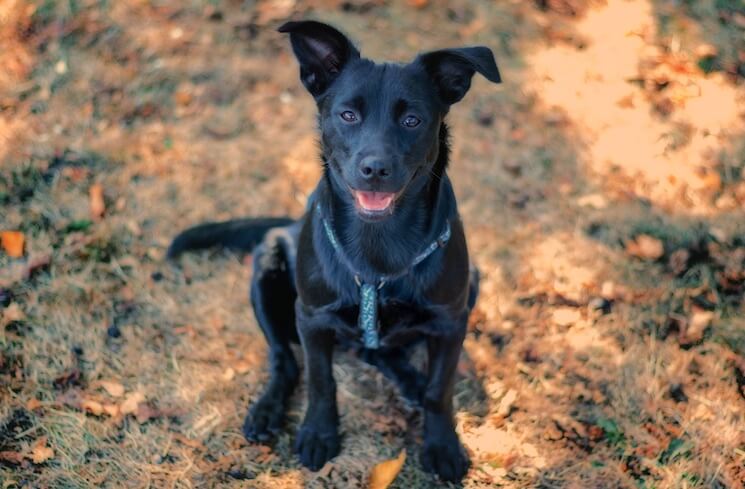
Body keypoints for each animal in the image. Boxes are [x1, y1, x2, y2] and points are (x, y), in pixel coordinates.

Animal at [170, 21, 500, 482]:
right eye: (348, 115)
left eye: (412, 120)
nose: (375, 169)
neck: (379, 243)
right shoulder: (312, 318)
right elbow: (321, 381)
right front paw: (318, 433)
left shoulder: (451, 321)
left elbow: (440, 389)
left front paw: (442, 445)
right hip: (268, 269)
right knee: (285, 360)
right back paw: (268, 410)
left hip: (472, 281)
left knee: (377, 350)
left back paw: (409, 381)